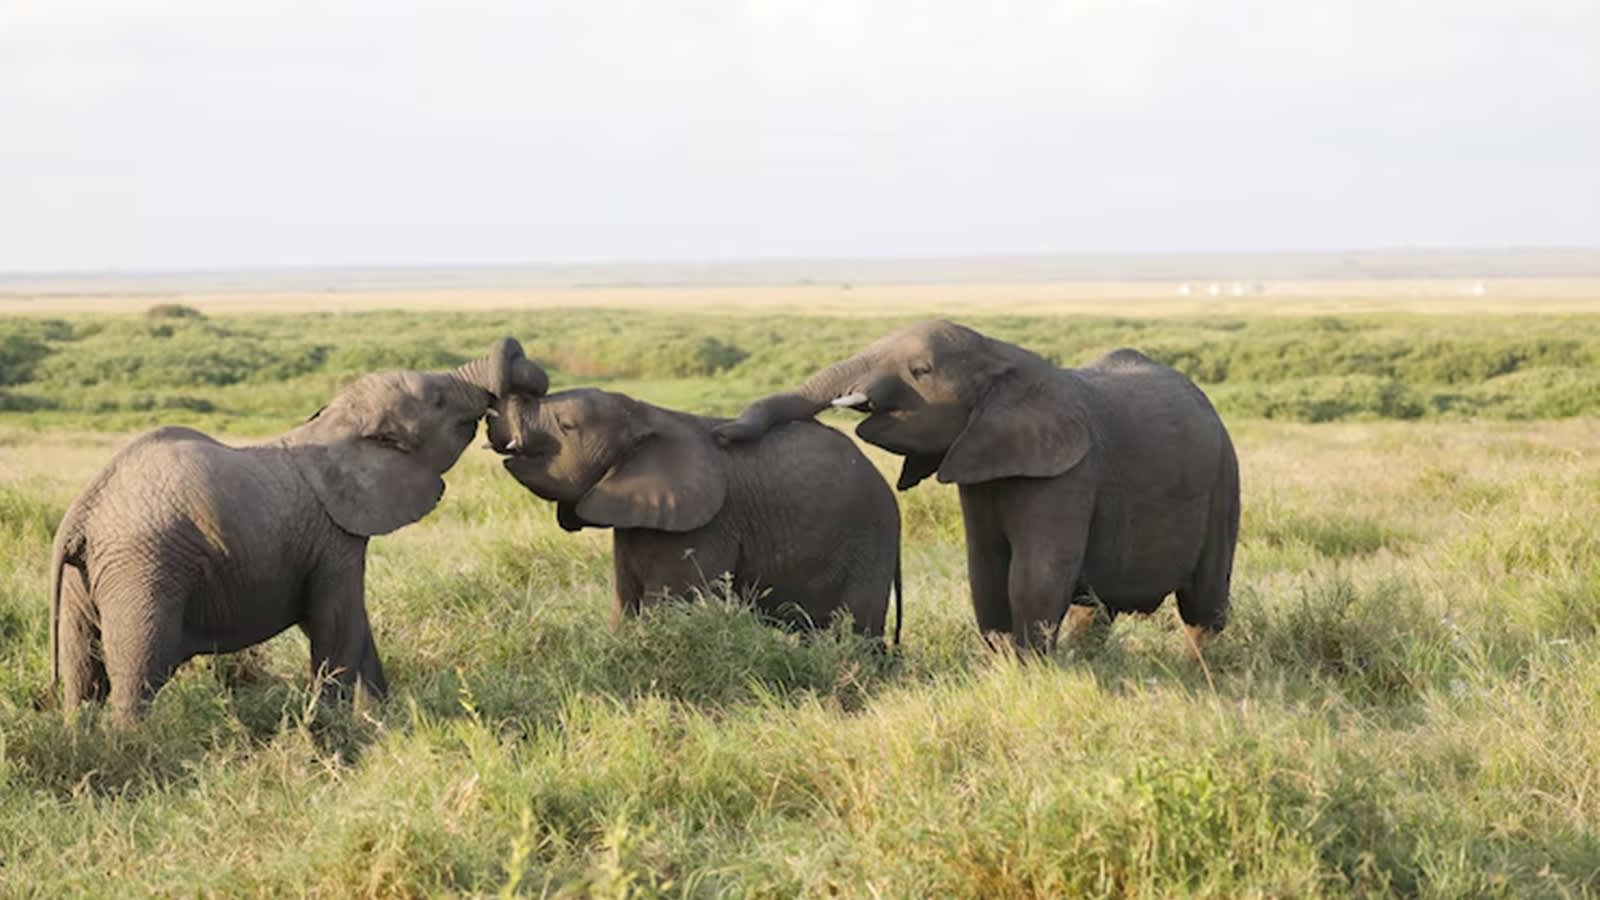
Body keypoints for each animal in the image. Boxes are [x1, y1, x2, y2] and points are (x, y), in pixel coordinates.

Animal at [49, 338, 548, 723]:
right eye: (440, 401)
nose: (518, 359)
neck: (333, 425)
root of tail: (82, 514)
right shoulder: (333, 540)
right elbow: (336, 626)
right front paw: (335, 729)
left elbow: (353, 628)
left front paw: (382, 723)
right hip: (144, 568)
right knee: (138, 674)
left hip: (87, 579)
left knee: (82, 676)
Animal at [488, 387, 903, 643]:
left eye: (567, 426)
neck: (644, 415)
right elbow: (624, 604)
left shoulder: (708, 525)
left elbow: (670, 608)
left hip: (868, 543)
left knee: (858, 630)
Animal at [714, 319, 1239, 656]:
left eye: (921, 371)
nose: (723, 435)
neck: (1002, 356)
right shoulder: (980, 462)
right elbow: (985, 572)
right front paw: (1003, 666)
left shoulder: (1070, 471)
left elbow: (1035, 576)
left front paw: (1031, 673)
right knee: (1095, 610)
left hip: (1225, 477)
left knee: (1204, 606)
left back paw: (1199, 673)